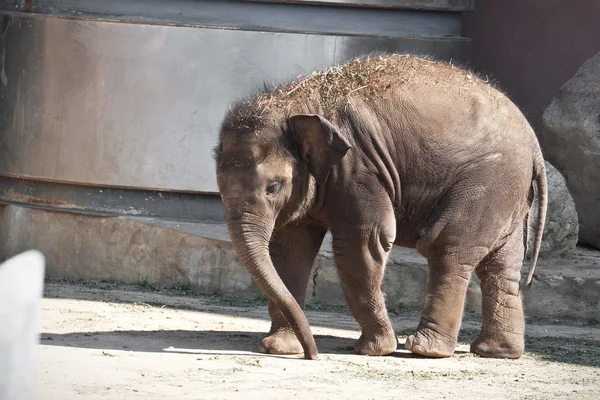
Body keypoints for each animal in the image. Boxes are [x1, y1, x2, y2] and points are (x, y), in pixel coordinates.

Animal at [213, 52, 548, 360]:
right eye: (219, 188)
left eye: (273, 187)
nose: (313, 355)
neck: (297, 102)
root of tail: (534, 145)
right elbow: (291, 249)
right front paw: (280, 348)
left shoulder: (359, 168)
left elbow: (362, 242)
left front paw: (376, 349)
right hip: (508, 194)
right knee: (501, 265)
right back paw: (496, 352)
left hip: (487, 182)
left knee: (447, 249)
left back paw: (425, 349)